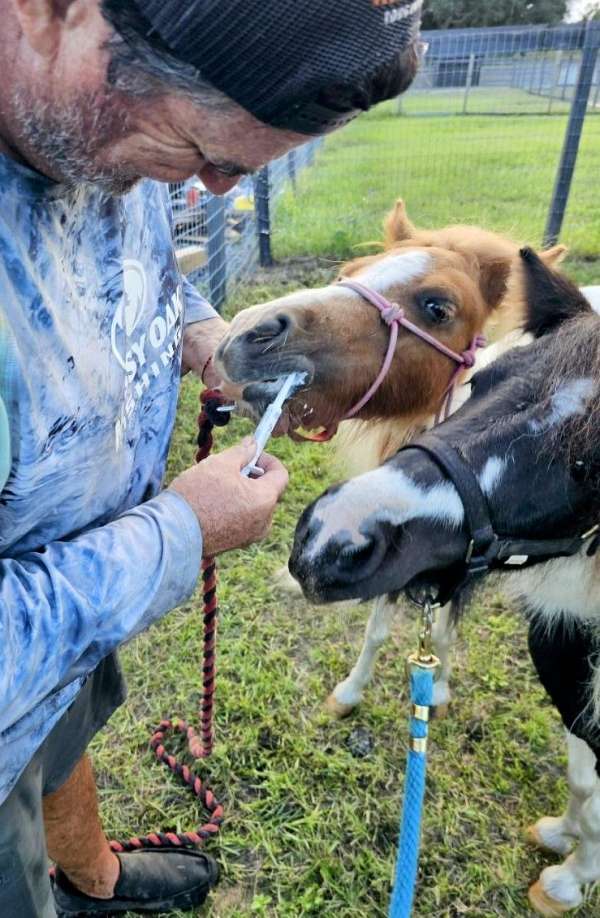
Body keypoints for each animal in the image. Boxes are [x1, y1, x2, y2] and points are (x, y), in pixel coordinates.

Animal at [217, 199, 568, 720]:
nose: (248, 331)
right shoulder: (391, 546)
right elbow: (378, 627)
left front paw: (436, 693)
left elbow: (440, 634)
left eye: (438, 306)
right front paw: (349, 692)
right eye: (350, 272)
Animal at [288, 248, 600, 916]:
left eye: (587, 463)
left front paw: (569, 878)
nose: (328, 536)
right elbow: (584, 783)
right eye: (482, 381)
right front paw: (567, 847)